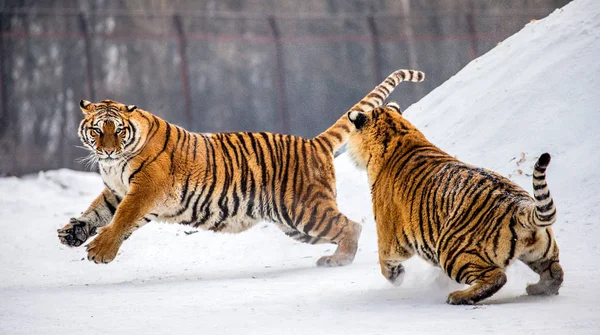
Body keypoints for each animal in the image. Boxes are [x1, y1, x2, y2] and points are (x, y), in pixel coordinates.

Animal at [57, 69, 426, 268]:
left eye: (117, 130)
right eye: (96, 130)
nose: (107, 150)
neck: (115, 164)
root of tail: (313, 142)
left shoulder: (143, 190)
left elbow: (121, 221)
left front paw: (100, 251)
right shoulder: (117, 190)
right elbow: (96, 212)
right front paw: (72, 233)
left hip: (305, 211)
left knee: (352, 225)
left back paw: (339, 260)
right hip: (294, 223)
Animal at [344, 104, 564, 304]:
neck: (399, 134)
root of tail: (519, 206)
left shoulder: (390, 237)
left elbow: (384, 261)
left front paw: (396, 276)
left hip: (452, 251)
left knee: (496, 277)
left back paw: (458, 296)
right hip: (541, 250)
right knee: (555, 272)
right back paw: (536, 289)